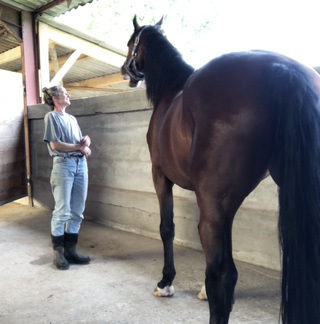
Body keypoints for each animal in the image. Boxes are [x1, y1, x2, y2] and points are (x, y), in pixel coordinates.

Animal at [120, 15, 320, 324]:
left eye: (132, 43)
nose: (124, 71)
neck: (172, 90)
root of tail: (284, 68)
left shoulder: (160, 176)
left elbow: (167, 228)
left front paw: (166, 282)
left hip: (213, 201)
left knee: (222, 276)